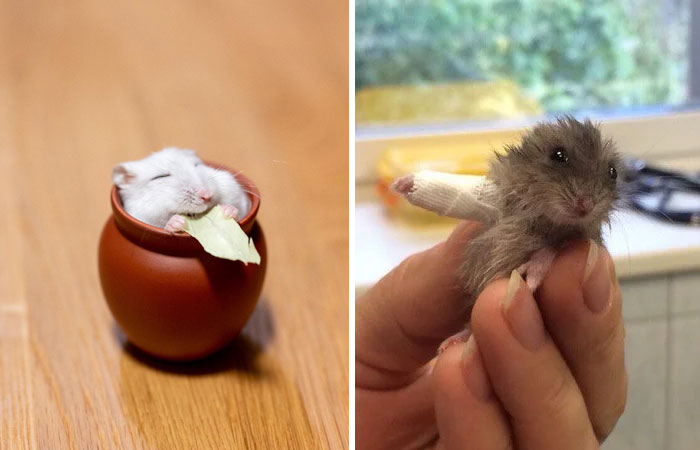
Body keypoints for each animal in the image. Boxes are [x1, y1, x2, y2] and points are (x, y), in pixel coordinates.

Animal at [112, 147, 252, 232]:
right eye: (160, 176)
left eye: (197, 165)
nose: (207, 195)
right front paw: (178, 222)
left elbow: (239, 210)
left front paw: (228, 210)